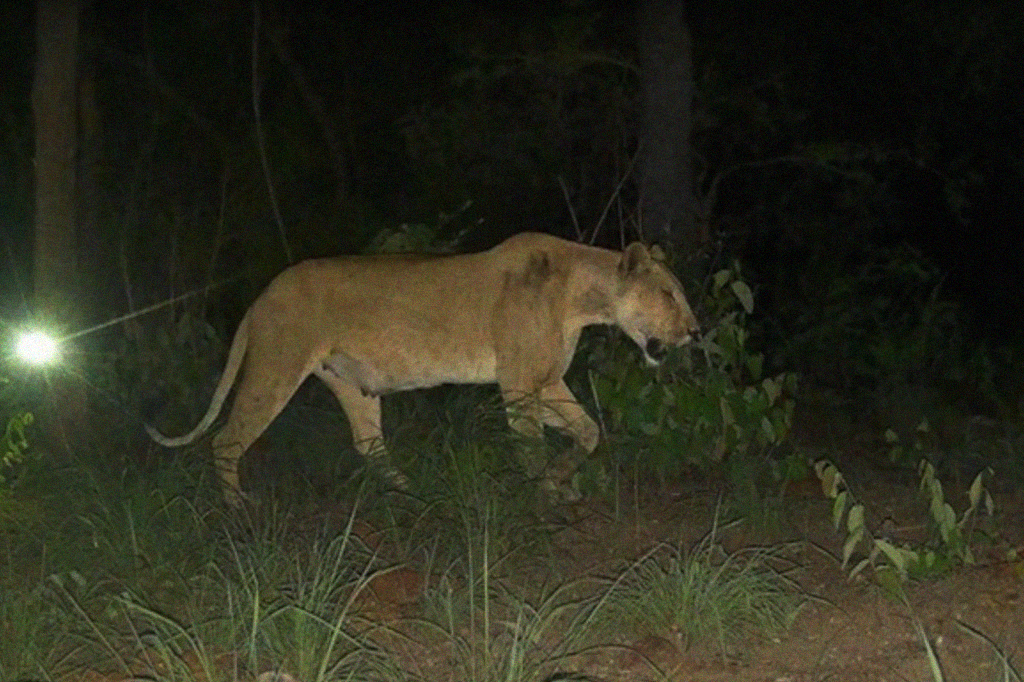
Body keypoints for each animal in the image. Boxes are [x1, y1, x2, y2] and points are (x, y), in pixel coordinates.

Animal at [147, 232, 699, 504]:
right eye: (668, 295)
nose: (695, 331)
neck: (584, 298)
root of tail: (262, 295)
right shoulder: (520, 384)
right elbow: (531, 446)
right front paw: (545, 495)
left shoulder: (545, 381)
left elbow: (587, 431)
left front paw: (564, 482)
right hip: (275, 369)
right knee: (226, 440)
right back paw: (237, 508)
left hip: (351, 385)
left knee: (369, 445)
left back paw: (415, 495)